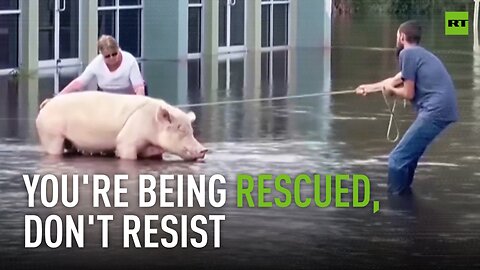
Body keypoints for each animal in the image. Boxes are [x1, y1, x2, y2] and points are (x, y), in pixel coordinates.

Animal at [33, 92, 206, 161]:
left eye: (191, 130)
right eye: (180, 129)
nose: (204, 150)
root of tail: (47, 103)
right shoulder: (127, 140)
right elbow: (125, 151)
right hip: (51, 135)